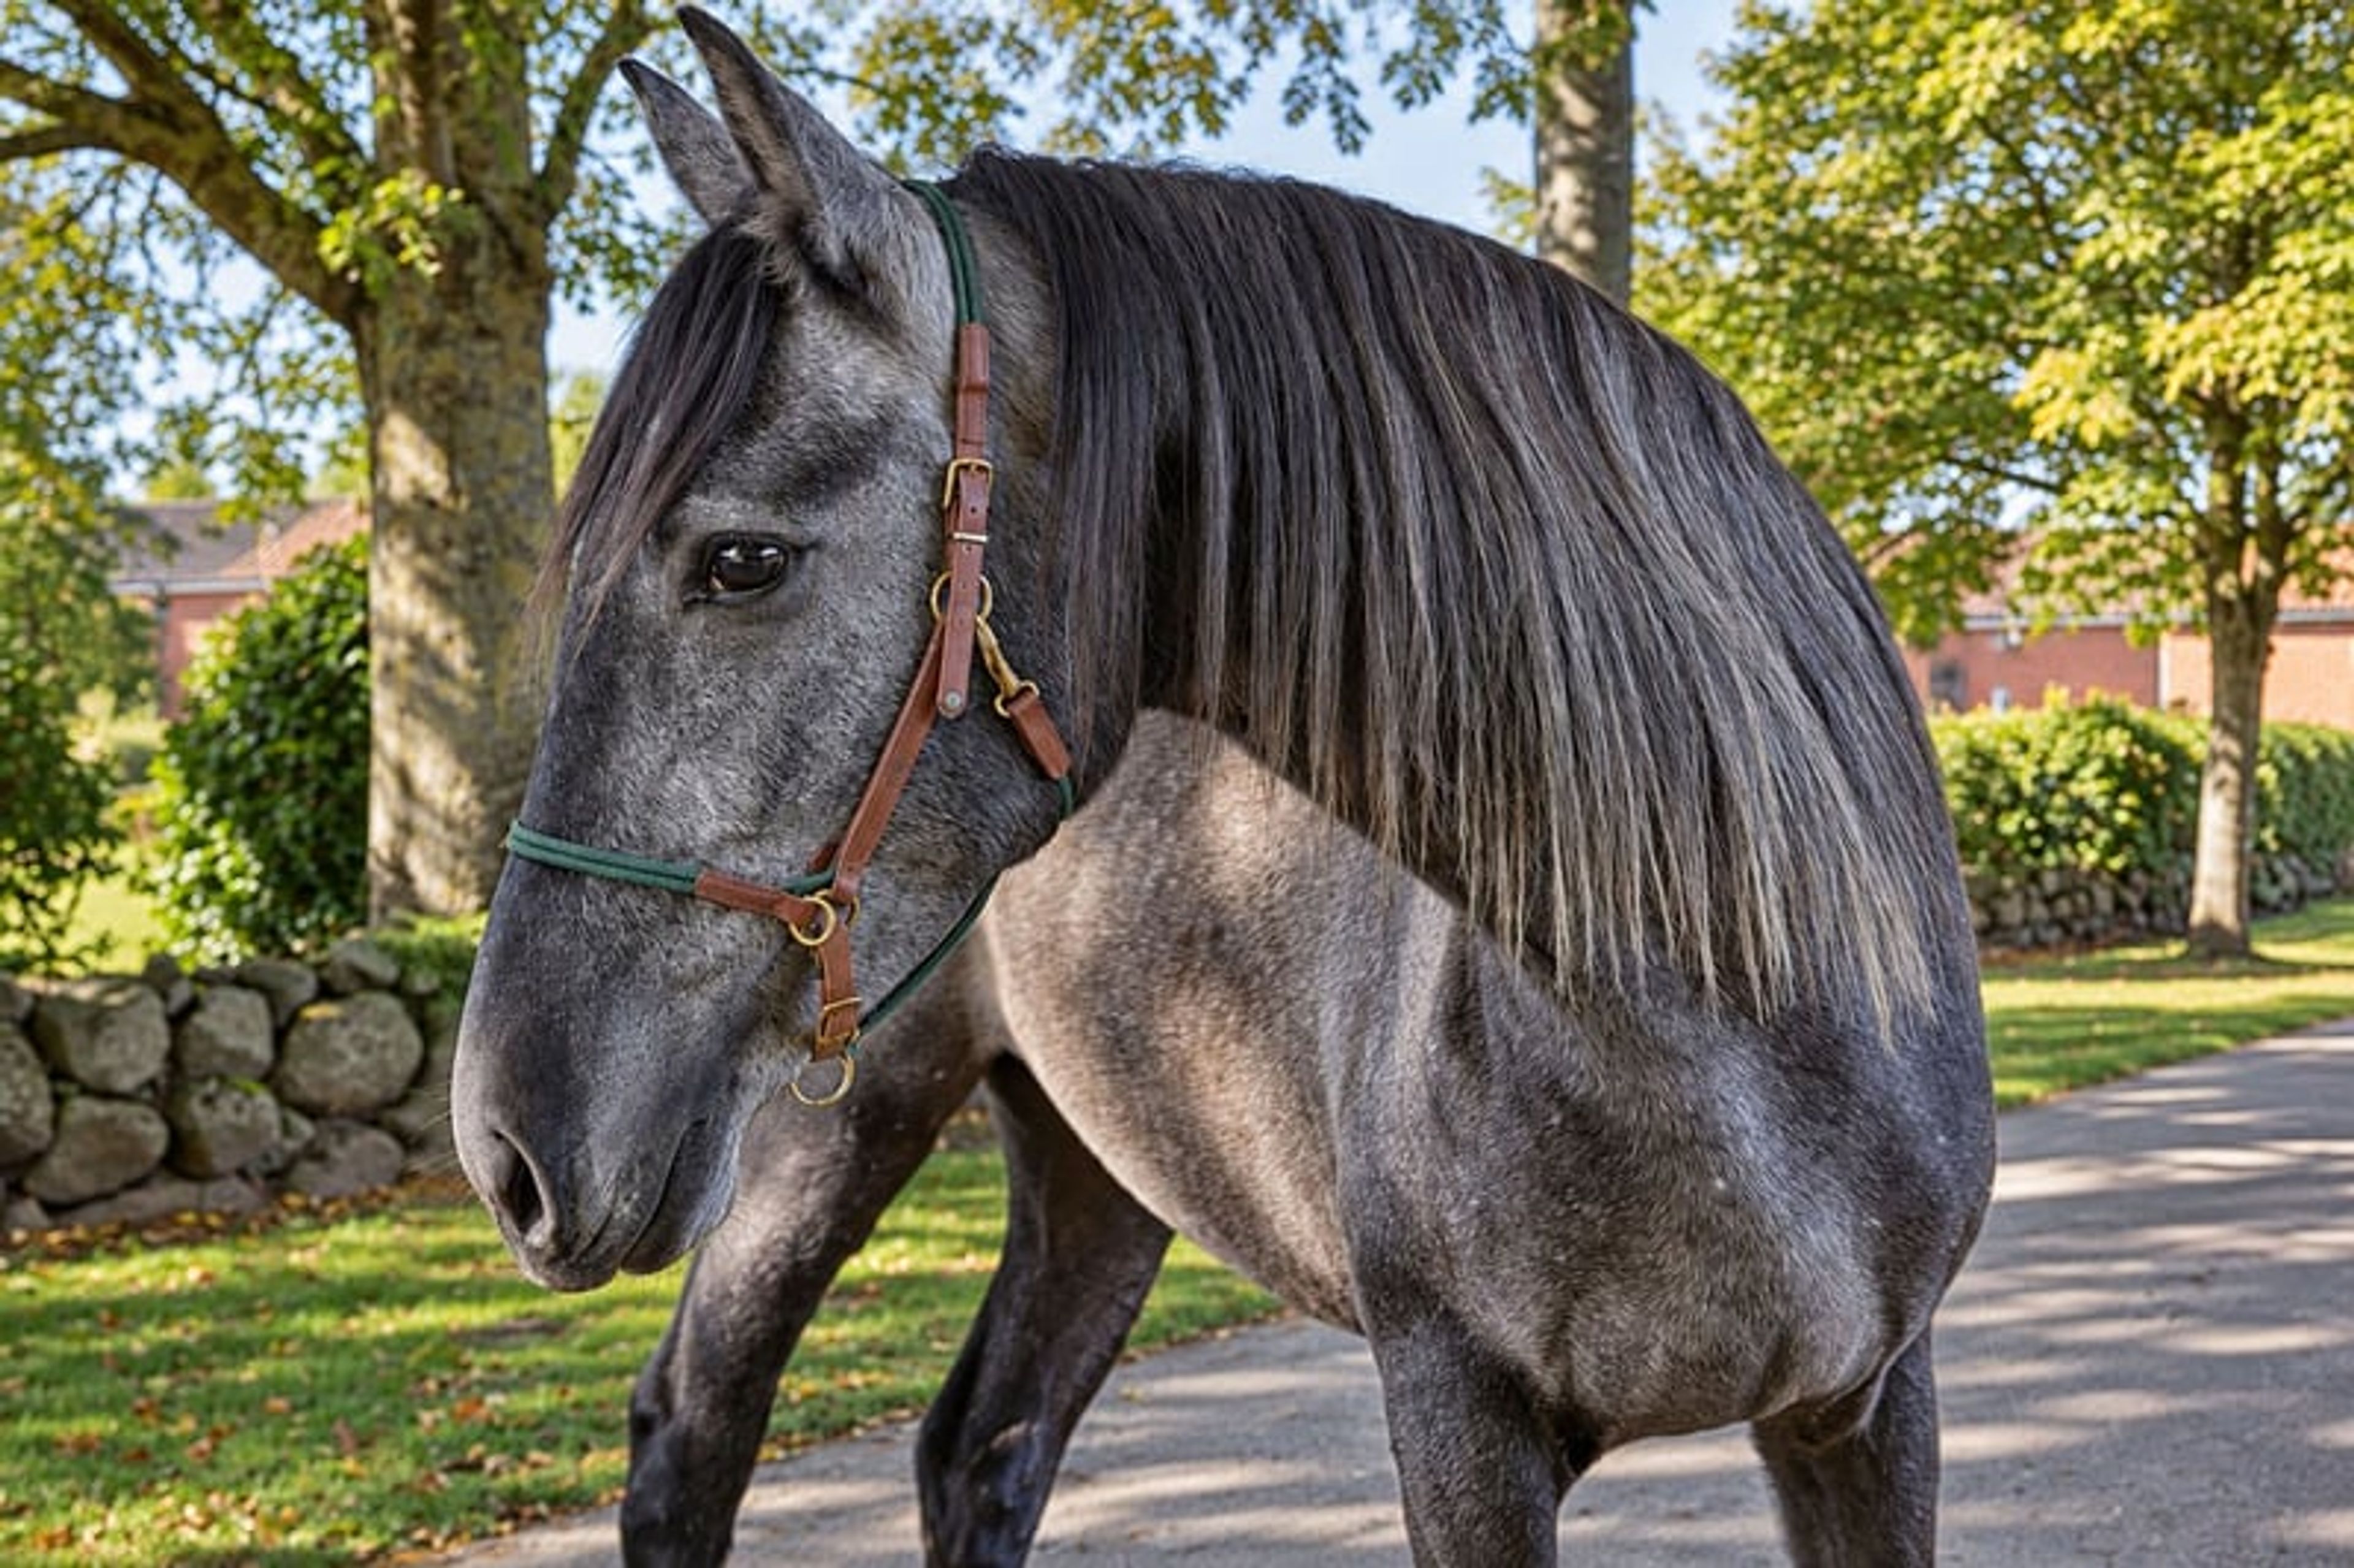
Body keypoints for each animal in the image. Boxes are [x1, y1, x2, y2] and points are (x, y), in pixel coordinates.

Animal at [450, 10, 1997, 1565]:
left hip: (1096, 1170)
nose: (500, 1139)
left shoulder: (1869, 1409)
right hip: (821, 1137)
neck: (1725, 1012)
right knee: (693, 1432)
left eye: (741, 560)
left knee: (982, 1448)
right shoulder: (1459, 1420)